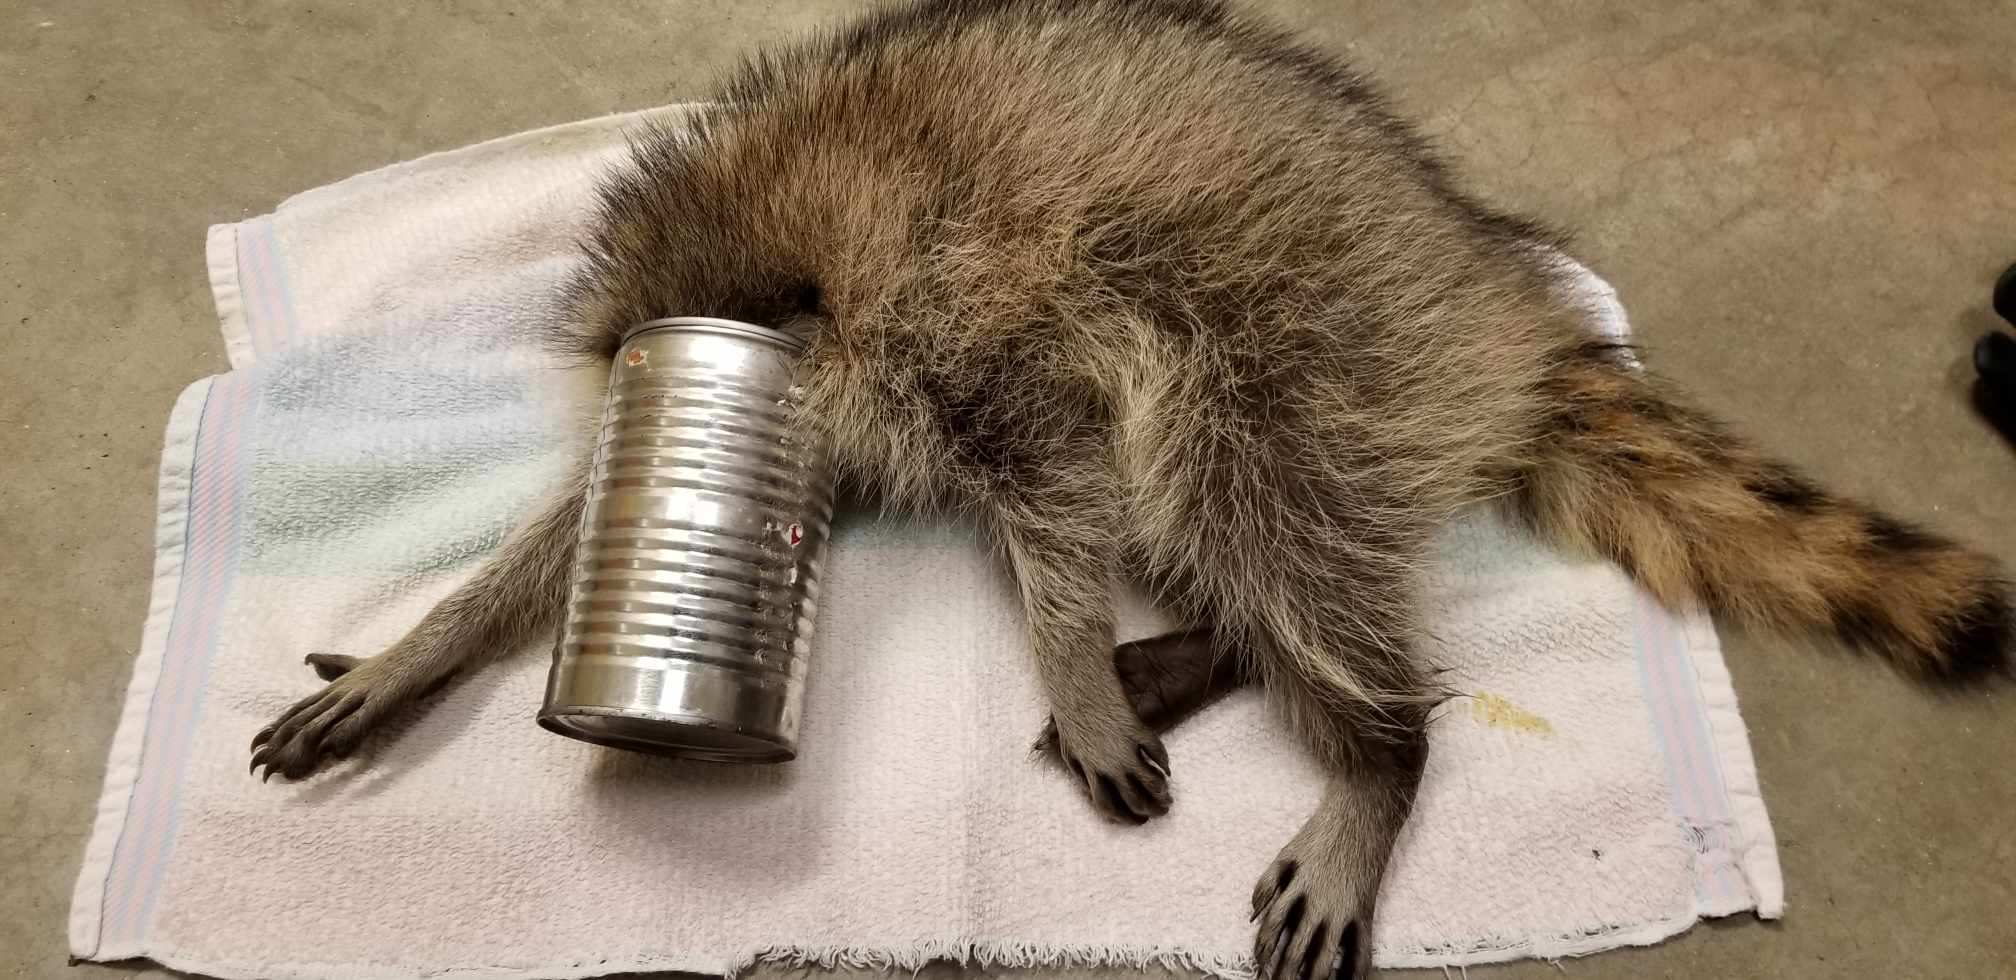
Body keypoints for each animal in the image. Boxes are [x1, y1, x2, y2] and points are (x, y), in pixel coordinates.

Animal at [249, 1, 2010, 975]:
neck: (789, 225)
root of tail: (1504, 311)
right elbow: (565, 540)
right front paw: (433, 637)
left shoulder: (977, 313)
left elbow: (1056, 496)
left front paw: (1070, 650)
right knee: (1244, 543)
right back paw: (1215, 651)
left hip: (1295, 352)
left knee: (1252, 507)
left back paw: (1374, 746)